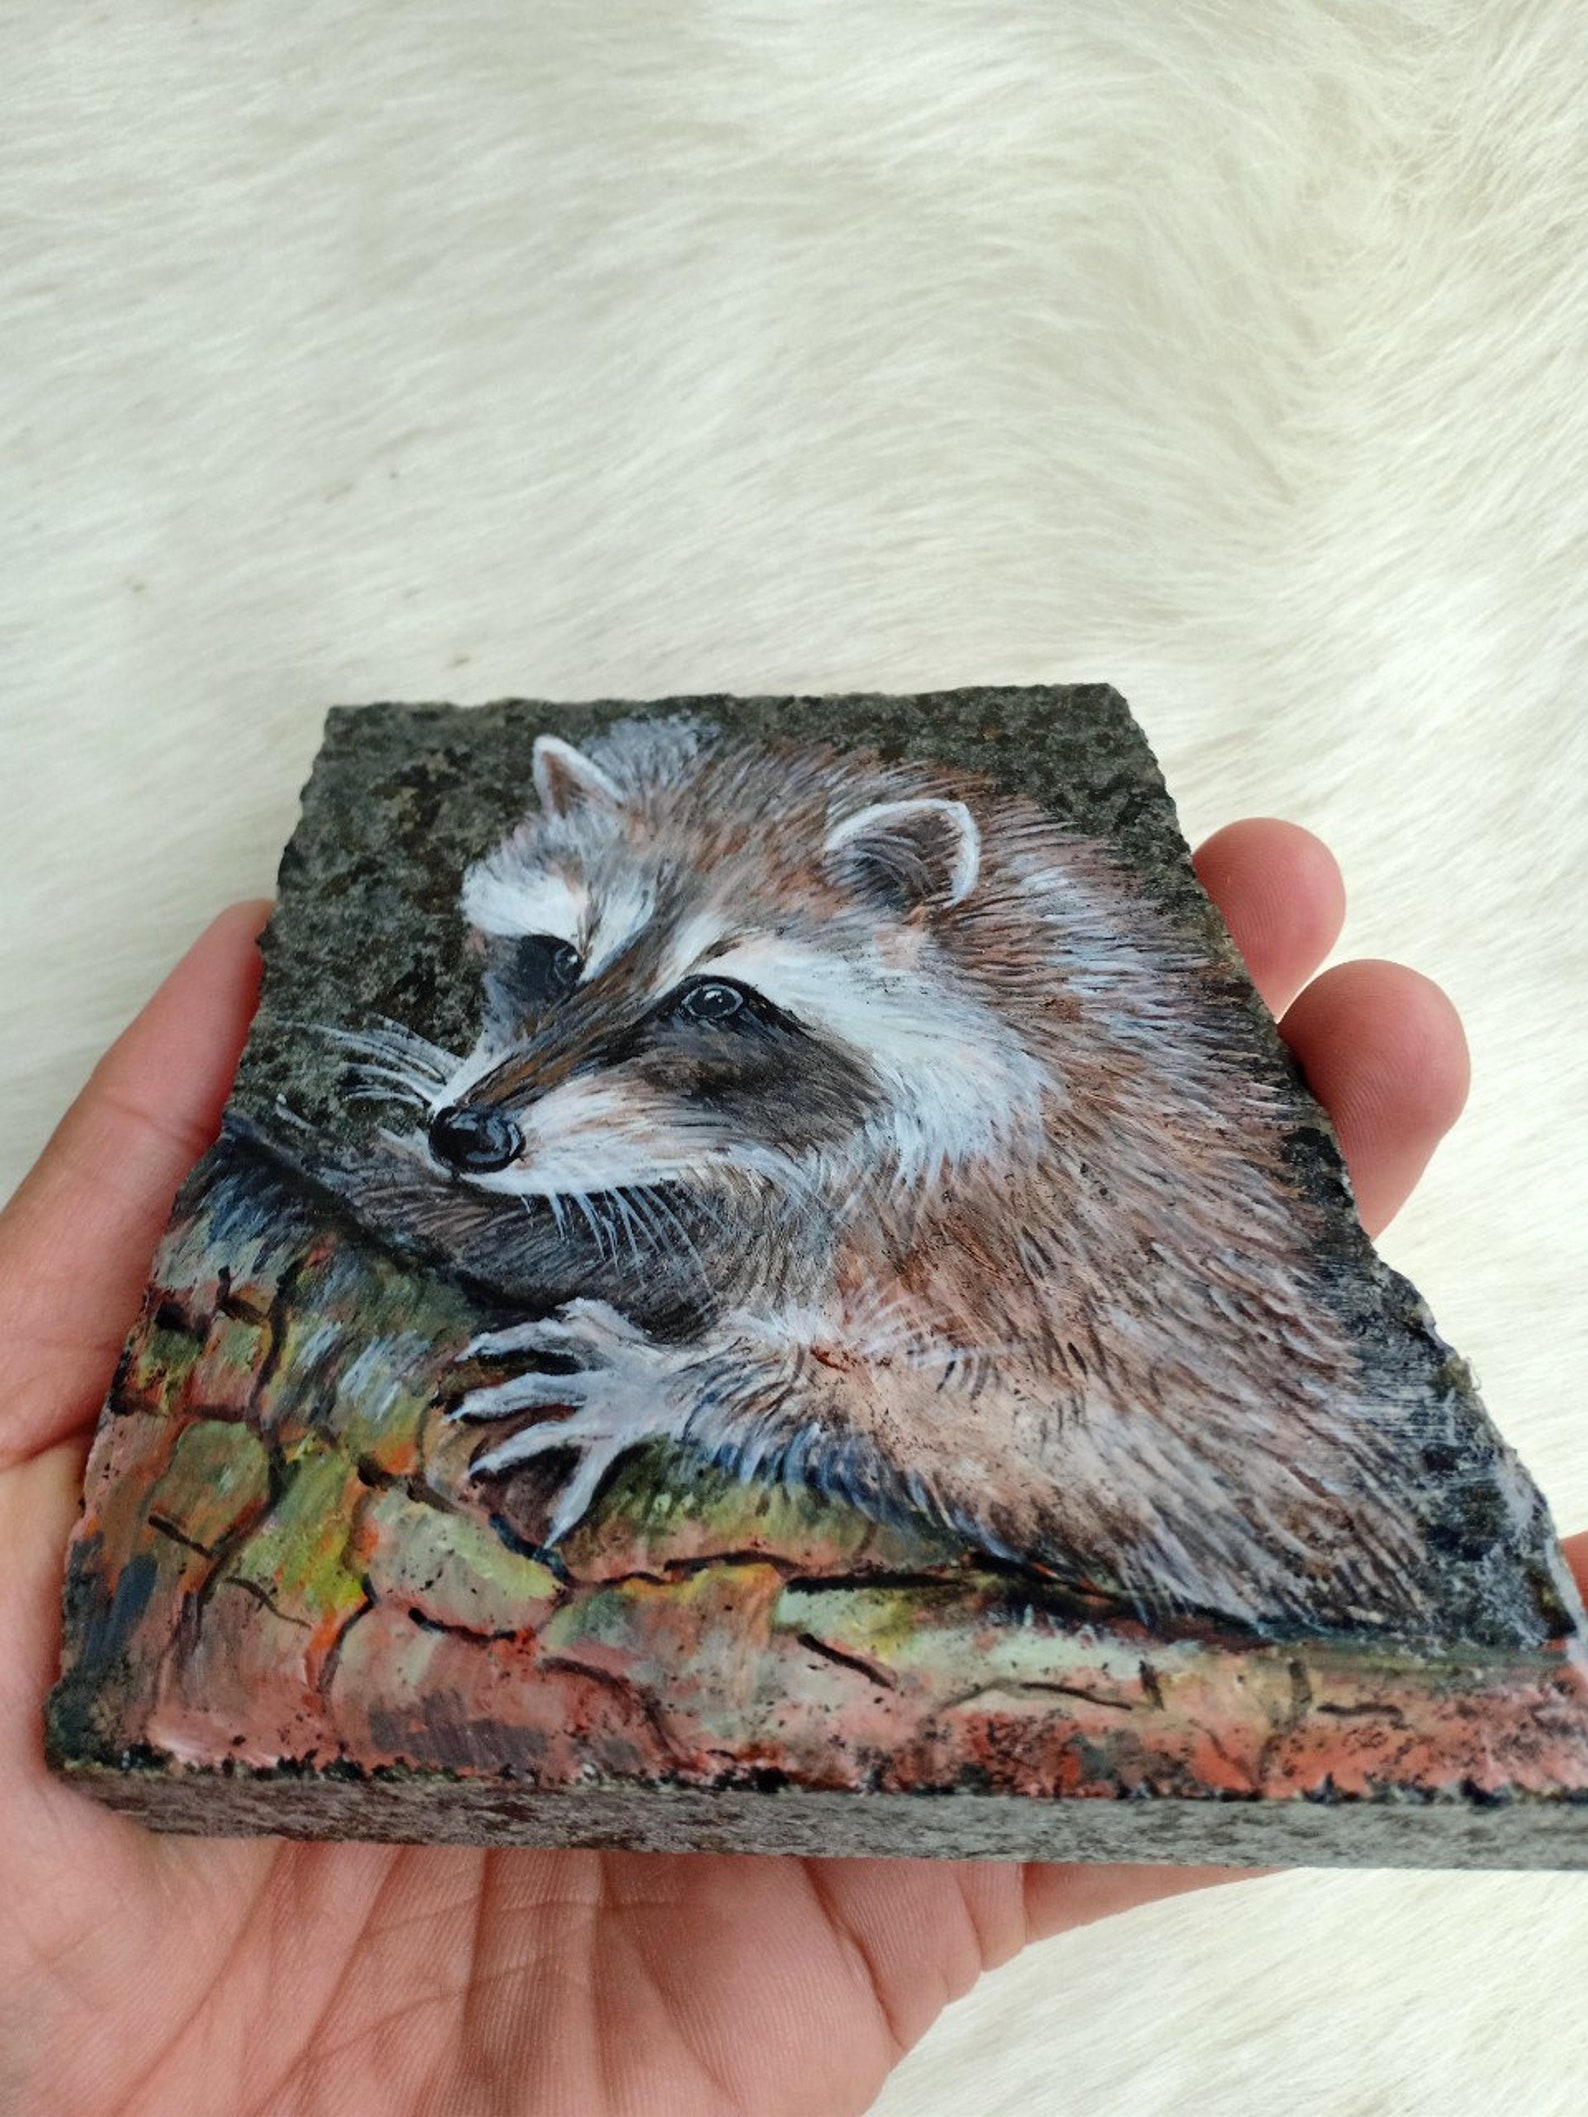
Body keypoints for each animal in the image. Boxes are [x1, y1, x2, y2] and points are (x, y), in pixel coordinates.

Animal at [335, 715, 1568, 1643]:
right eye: (559, 955)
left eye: (715, 998)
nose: (467, 1134)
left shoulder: (1103, 1278)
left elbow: (1087, 1454)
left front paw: (677, 1376)